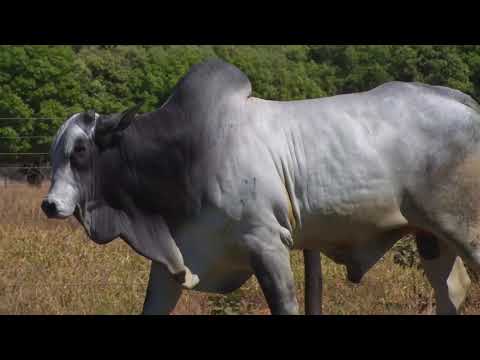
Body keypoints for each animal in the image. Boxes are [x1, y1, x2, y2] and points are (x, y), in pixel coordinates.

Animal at [41, 59, 476, 316]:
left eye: (80, 150)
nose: (50, 205)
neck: (187, 153)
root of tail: (463, 103)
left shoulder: (266, 242)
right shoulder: (174, 255)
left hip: (466, 229)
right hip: (430, 236)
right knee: (451, 291)